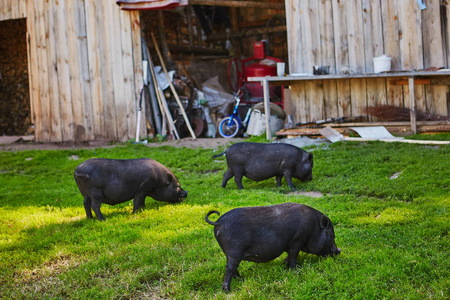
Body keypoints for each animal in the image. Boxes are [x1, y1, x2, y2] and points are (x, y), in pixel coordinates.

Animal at [206, 203, 340, 292]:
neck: (313, 228)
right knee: (230, 268)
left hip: (228, 252)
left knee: (232, 267)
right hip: (235, 250)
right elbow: (293, 255)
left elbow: (289, 255)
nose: (338, 251)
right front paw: (296, 270)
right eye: (331, 235)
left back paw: (241, 280)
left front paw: (285, 263)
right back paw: (228, 290)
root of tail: (219, 222)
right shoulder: (297, 240)